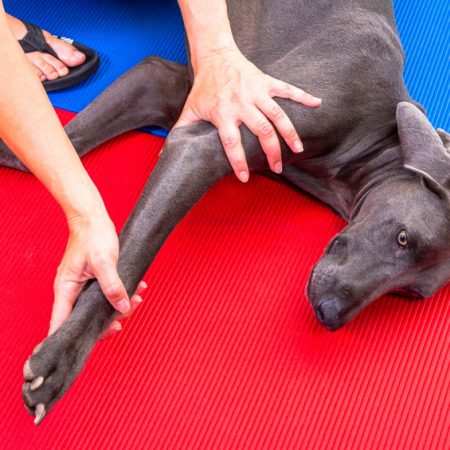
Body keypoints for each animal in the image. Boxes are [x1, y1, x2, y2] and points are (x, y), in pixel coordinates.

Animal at [0, 0, 448, 424]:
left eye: (408, 294)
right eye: (403, 238)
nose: (330, 314)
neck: (374, 135)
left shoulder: (169, 85)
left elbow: (44, 148)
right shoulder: (209, 138)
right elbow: (131, 258)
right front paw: (62, 357)